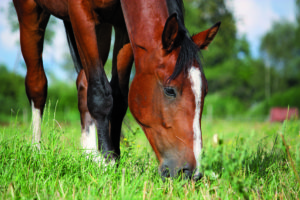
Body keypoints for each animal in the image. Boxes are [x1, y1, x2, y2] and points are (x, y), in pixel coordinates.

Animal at [13, 0, 220, 180]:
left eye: (205, 91)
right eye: (170, 90)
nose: (191, 173)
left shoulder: (123, 28)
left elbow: (119, 98)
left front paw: (113, 159)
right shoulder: (80, 13)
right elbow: (101, 96)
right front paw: (107, 164)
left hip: (101, 29)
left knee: (83, 83)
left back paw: (89, 155)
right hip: (31, 13)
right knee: (37, 85)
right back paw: (36, 151)